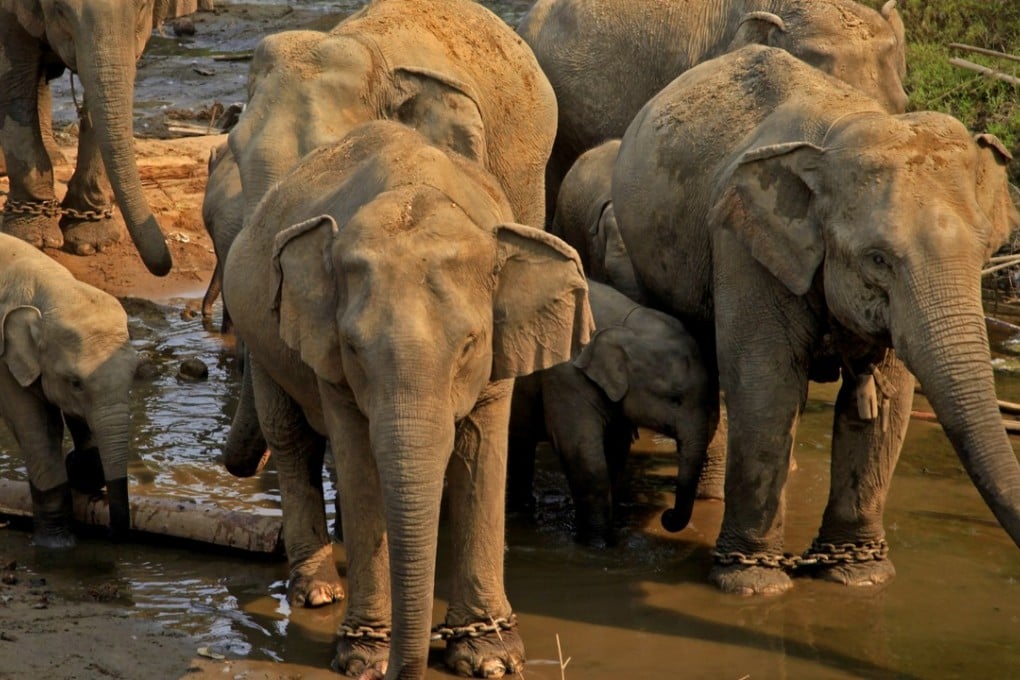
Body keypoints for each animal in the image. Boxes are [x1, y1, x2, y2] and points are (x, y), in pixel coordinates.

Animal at [0, 0, 172, 275]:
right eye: (59, 9)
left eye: (144, 6)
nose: (165, 266)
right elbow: (15, 80)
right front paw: (34, 238)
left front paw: (92, 242)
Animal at [0, 232, 137, 547]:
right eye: (75, 382)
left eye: (135, 373)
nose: (111, 532)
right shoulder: (4, 361)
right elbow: (36, 430)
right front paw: (56, 545)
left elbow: (78, 420)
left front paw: (79, 466)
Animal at [223, 119, 592, 679]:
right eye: (353, 347)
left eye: (469, 344)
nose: (411, 661)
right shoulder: (332, 363)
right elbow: (359, 463)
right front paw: (363, 660)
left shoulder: (496, 367)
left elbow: (483, 455)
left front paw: (491, 656)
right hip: (266, 331)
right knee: (291, 439)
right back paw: (318, 591)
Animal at [508, 280, 711, 548]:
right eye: (675, 399)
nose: (666, 517)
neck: (629, 322)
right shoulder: (566, 378)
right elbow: (583, 455)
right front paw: (597, 544)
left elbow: (616, 451)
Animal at [612, 44, 1020, 597]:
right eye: (877, 259)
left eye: (984, 253)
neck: (838, 133)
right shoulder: (744, 245)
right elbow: (767, 385)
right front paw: (752, 583)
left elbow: (888, 399)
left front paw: (858, 574)